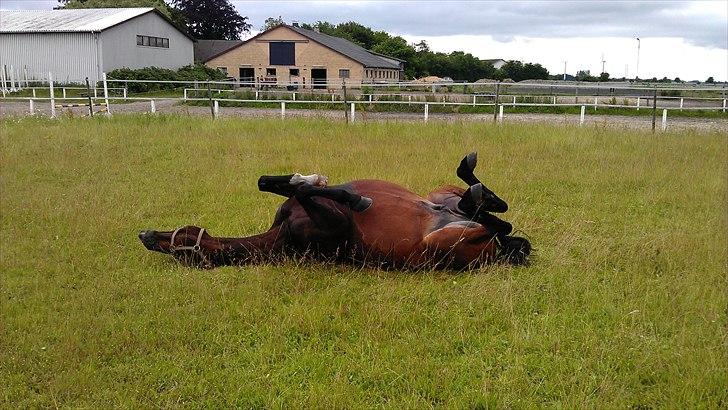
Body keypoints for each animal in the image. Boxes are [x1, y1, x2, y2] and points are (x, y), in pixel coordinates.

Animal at [139, 152, 532, 270]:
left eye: (183, 249)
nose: (146, 235)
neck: (284, 237)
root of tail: (498, 254)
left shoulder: (332, 215)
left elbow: (289, 185)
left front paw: (313, 178)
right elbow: (287, 186)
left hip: (441, 211)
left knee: (499, 216)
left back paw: (473, 185)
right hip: (441, 232)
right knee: (499, 222)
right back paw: (474, 196)